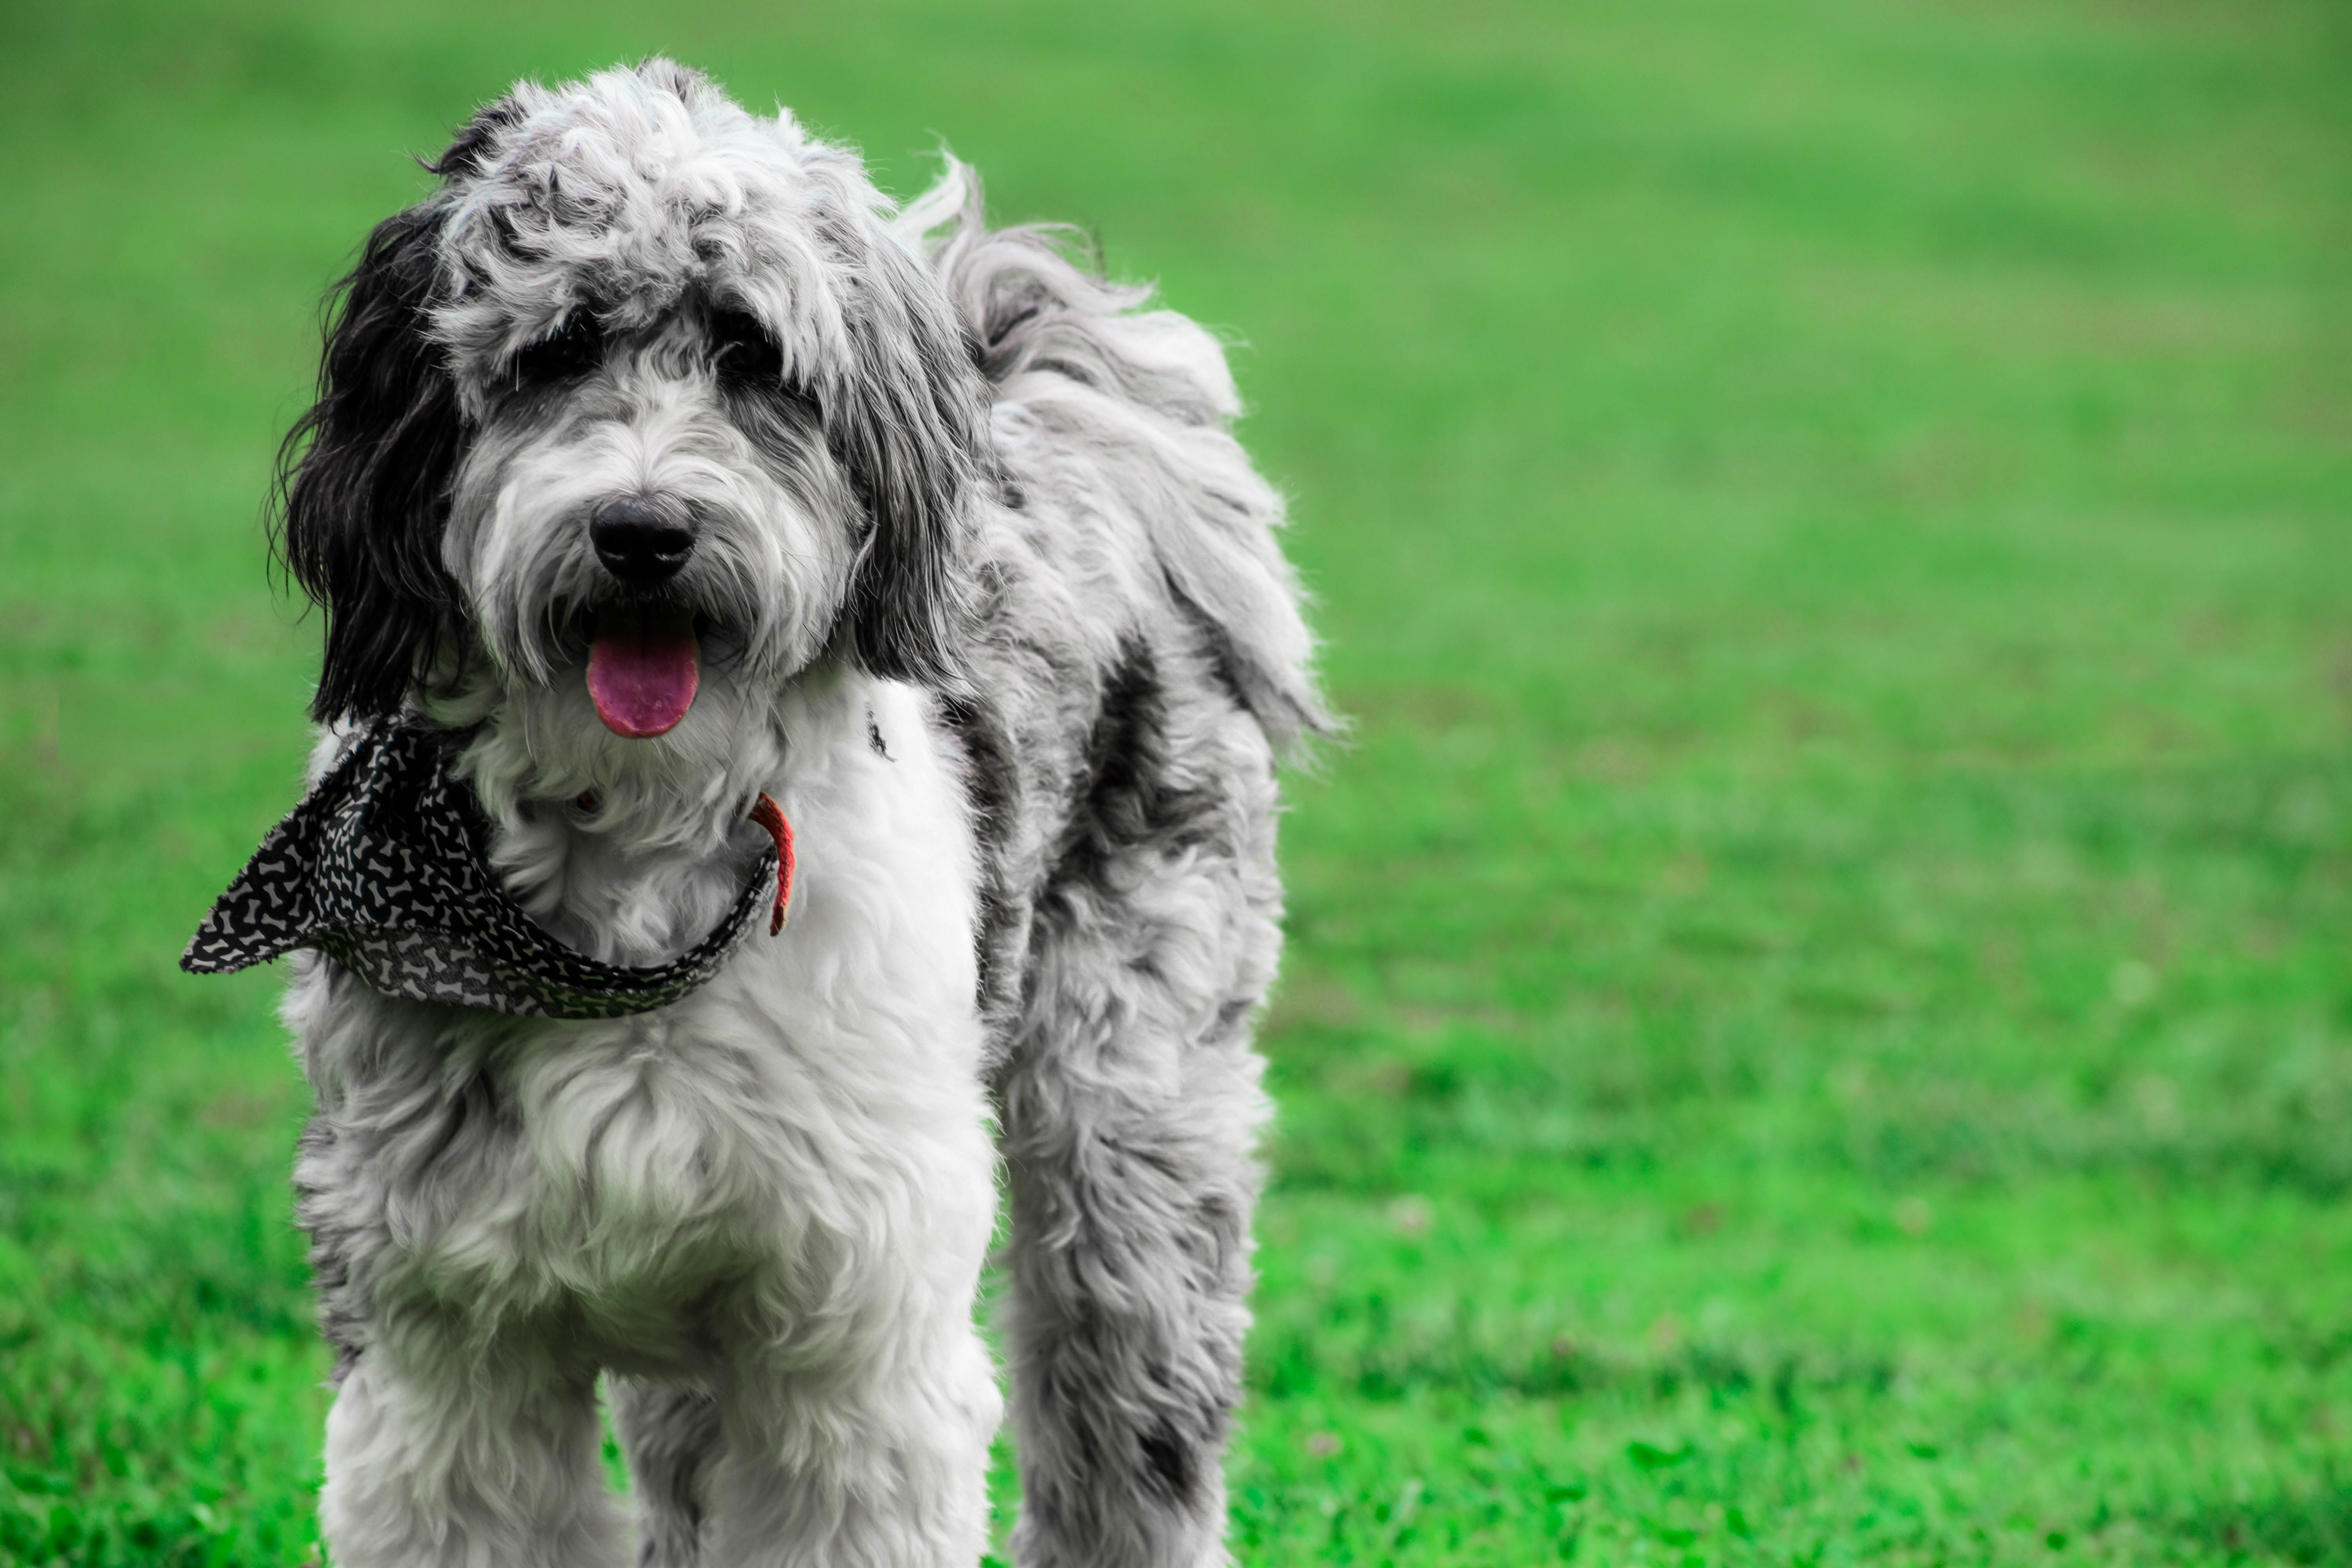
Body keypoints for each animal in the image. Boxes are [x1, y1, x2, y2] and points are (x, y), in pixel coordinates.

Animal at [253, 55, 1345, 1561]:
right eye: (554, 351)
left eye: (751, 353)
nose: (644, 531)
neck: (634, 889)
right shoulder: (446, 1342)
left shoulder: (853, 1333)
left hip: (1129, 1113)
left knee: (1130, 1413)